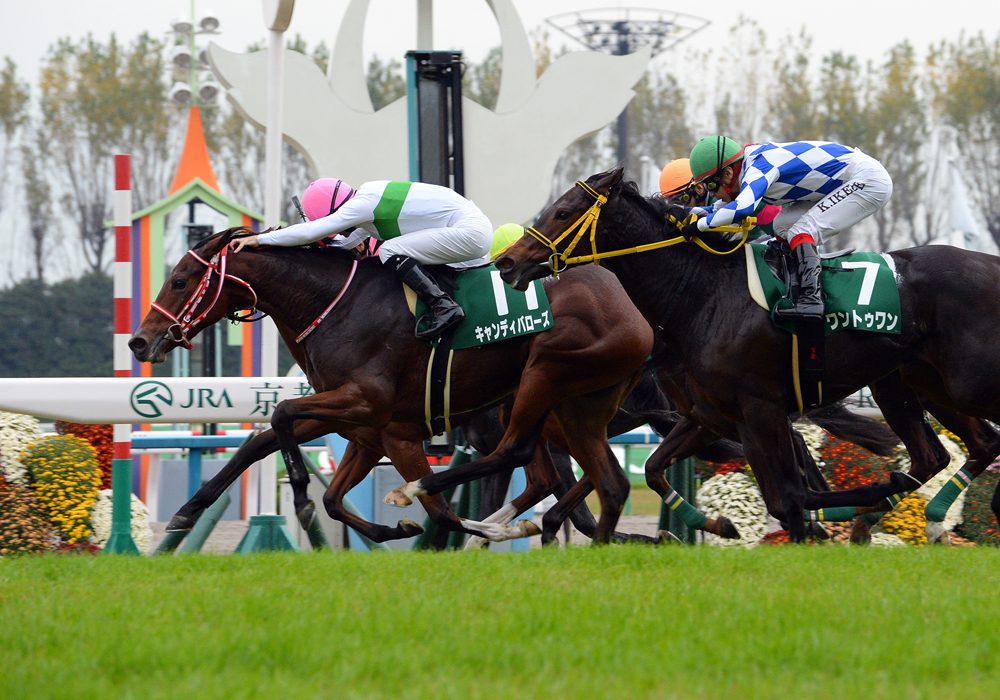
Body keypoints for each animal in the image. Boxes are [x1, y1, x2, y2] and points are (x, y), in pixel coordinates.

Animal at [127, 227, 656, 544]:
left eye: (180, 280)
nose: (139, 341)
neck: (335, 304)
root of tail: (636, 314)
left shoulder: (375, 412)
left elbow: (282, 417)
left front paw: (301, 497)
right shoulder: (361, 427)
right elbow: (279, 455)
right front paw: (186, 513)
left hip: (543, 378)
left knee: (519, 455)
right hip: (572, 408)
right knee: (591, 478)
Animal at [498, 170, 1000, 540]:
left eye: (562, 211)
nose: (507, 262)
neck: (702, 293)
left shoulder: (760, 408)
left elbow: (788, 498)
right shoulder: (712, 414)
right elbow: (660, 469)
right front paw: (714, 523)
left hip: (964, 382)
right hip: (912, 384)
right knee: (947, 453)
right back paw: (899, 516)